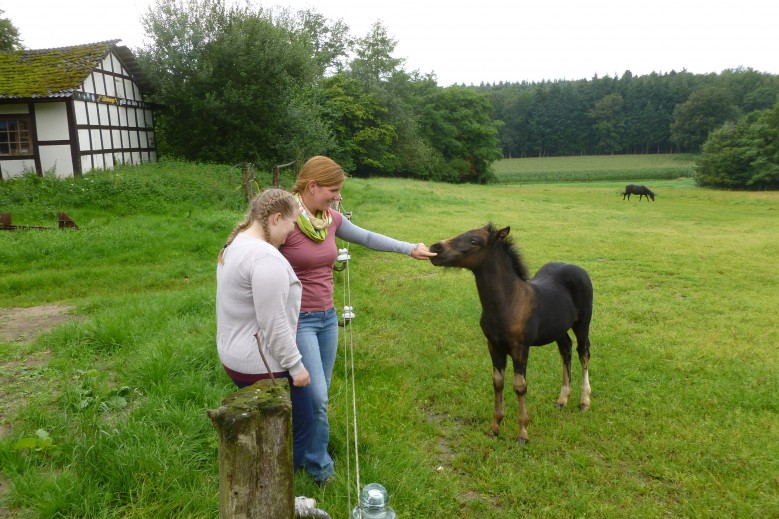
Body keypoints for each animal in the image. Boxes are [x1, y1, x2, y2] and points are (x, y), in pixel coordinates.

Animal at [430, 225, 596, 444]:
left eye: (474, 241)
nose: (435, 248)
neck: (508, 301)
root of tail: (577, 268)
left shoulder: (520, 348)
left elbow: (519, 386)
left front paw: (523, 433)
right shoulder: (493, 346)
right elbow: (497, 382)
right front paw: (494, 428)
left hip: (582, 323)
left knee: (583, 353)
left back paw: (584, 401)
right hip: (559, 328)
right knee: (566, 350)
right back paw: (562, 399)